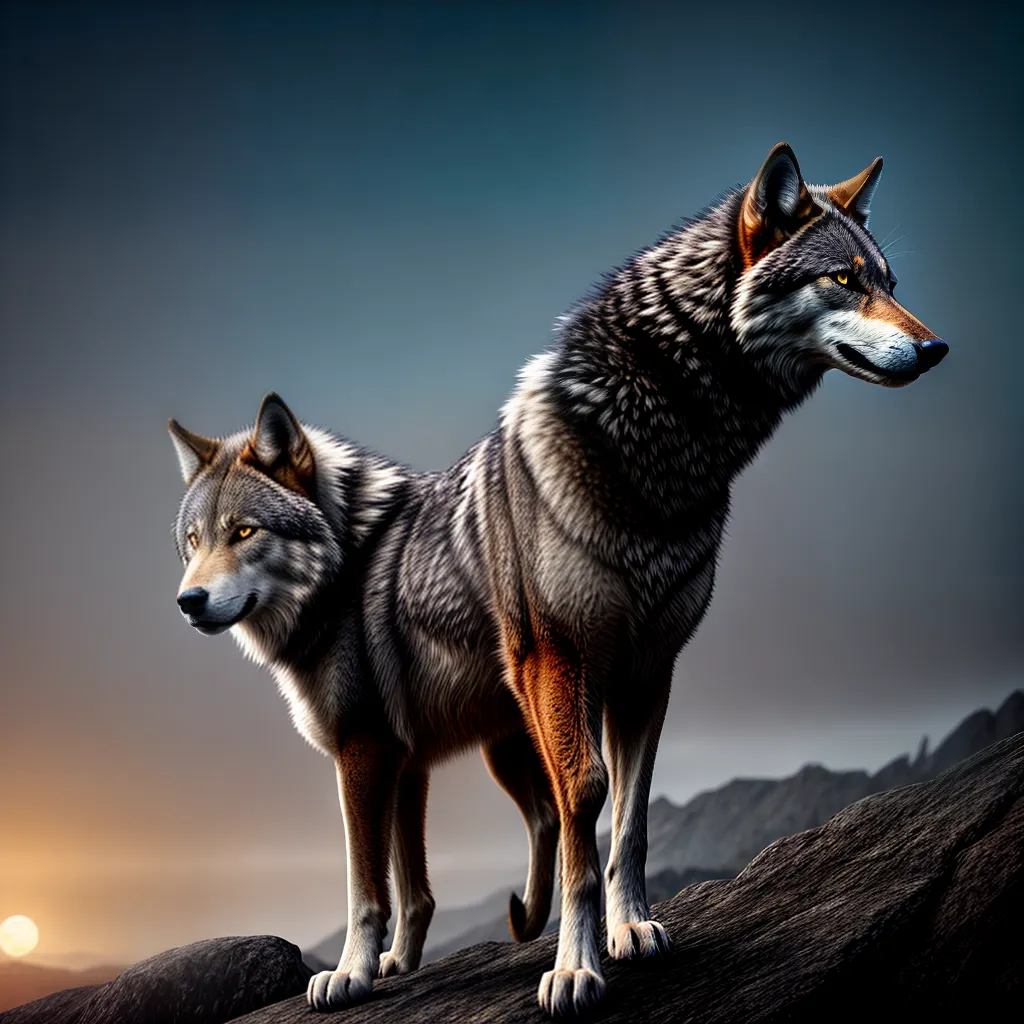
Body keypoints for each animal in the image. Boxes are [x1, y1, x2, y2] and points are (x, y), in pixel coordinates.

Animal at [169, 143, 946, 1017]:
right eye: (194, 542)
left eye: (886, 281)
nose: (935, 348)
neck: (659, 465)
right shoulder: (432, 726)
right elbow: (401, 877)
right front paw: (398, 968)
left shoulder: (644, 671)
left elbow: (624, 816)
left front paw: (622, 933)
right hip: (513, 734)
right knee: (538, 815)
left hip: (514, 737)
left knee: (542, 816)